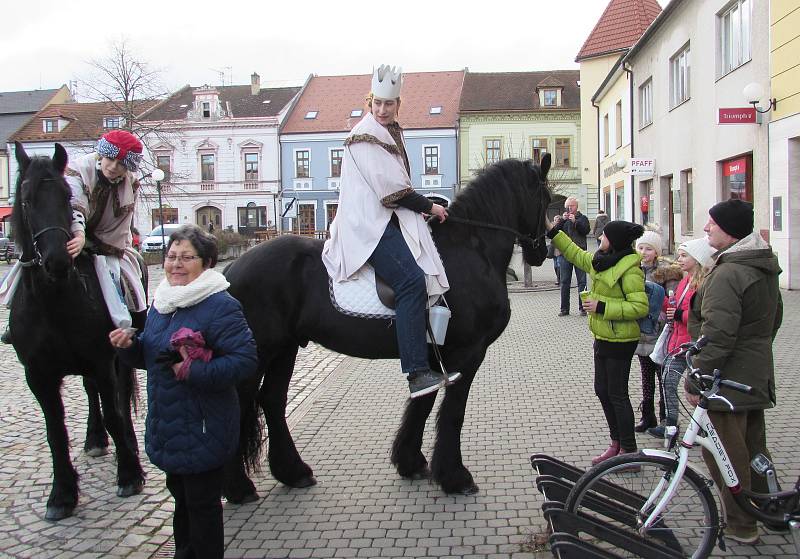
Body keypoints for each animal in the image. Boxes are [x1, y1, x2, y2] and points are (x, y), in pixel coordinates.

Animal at [9, 141, 145, 520]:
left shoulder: (101, 359)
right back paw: (95, 439)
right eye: (26, 199)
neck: (54, 301)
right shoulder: (36, 374)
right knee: (90, 393)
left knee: (117, 396)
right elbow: (55, 431)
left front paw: (130, 475)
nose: (58, 259)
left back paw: (125, 442)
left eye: (66, 196)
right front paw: (61, 495)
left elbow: (115, 411)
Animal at [222, 154, 552, 498]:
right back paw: (239, 487)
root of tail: (231, 269)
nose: (541, 251)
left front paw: (410, 461)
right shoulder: (467, 353)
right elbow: (453, 413)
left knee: (272, 400)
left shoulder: (433, 356)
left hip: (284, 349)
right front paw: (455, 476)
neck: (471, 249)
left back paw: (293, 472)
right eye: (546, 198)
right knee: (238, 406)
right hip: (260, 352)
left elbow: (422, 403)